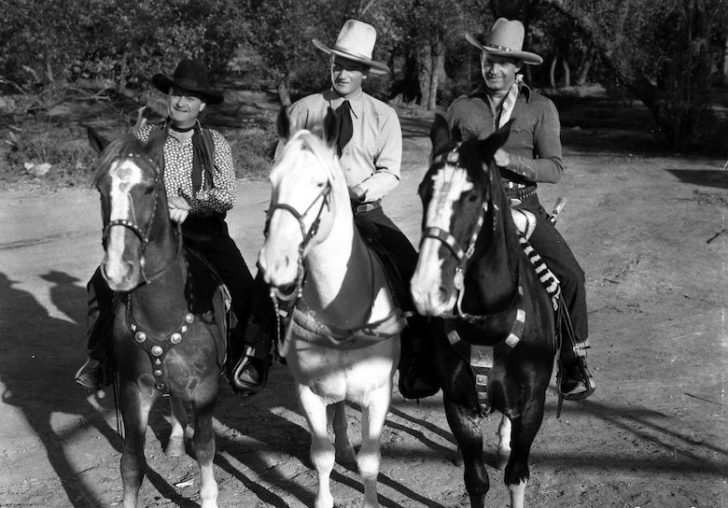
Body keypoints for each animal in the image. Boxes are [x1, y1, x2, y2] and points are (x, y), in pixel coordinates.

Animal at [89, 130, 230, 508]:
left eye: (150, 188)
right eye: (100, 188)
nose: (119, 270)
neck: (165, 314)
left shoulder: (207, 386)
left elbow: (206, 446)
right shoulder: (132, 388)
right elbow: (131, 463)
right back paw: (177, 439)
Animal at [258, 108, 404, 508]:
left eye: (322, 183)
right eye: (272, 179)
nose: (276, 263)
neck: (340, 313)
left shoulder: (378, 395)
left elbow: (371, 461)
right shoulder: (308, 391)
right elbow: (321, 454)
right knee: (337, 410)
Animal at [410, 115, 556, 508]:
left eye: (473, 196)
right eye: (423, 192)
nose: (427, 288)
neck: (489, 325)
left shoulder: (532, 409)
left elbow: (517, 476)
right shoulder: (459, 407)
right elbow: (475, 481)